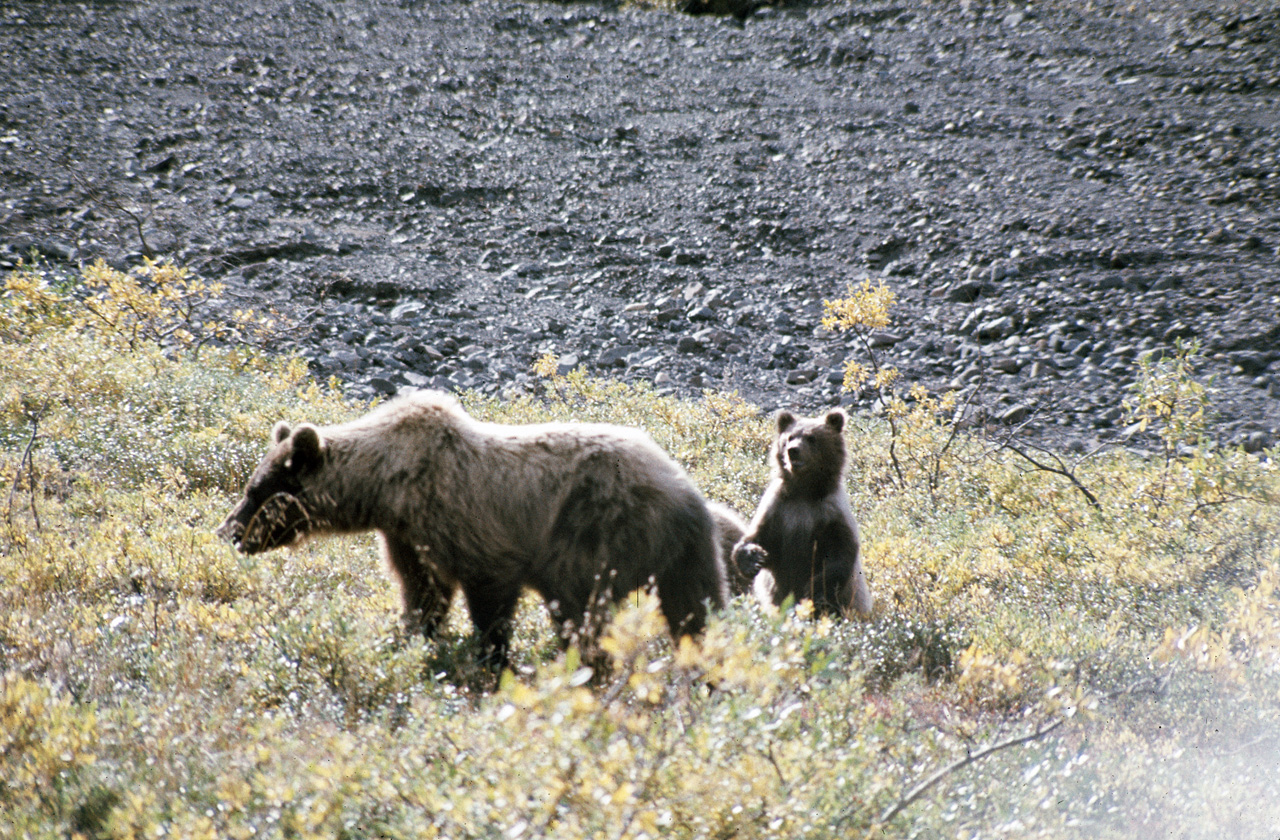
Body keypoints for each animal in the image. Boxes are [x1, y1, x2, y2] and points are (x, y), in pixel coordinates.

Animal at [215, 389, 727, 670]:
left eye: (255, 490)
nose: (229, 533)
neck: (387, 487)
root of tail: (685, 491)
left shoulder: (465, 521)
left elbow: (488, 594)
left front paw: (491, 658)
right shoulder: (408, 535)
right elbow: (422, 592)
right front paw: (410, 638)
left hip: (595, 527)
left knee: (578, 607)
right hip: (686, 553)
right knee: (696, 608)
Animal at [732, 409, 870, 619]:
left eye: (811, 438)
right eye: (789, 437)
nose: (793, 450)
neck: (804, 491)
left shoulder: (830, 513)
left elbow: (840, 555)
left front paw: (814, 588)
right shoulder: (778, 510)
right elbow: (756, 538)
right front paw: (752, 559)